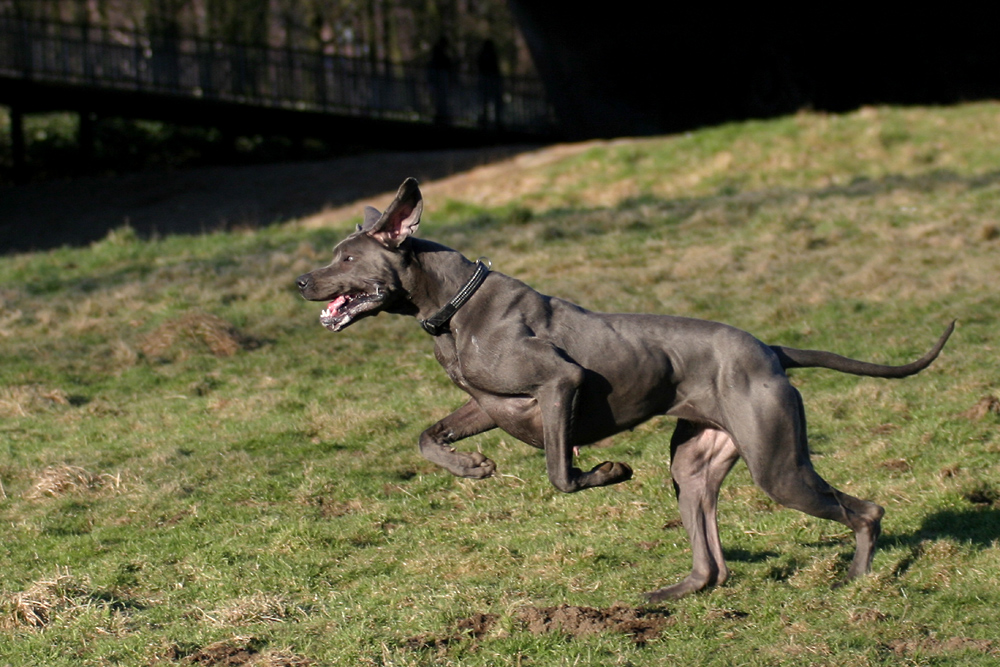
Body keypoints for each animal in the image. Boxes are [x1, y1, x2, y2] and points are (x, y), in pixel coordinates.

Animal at [294, 179, 952, 600]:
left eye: (346, 258)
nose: (300, 281)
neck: (453, 305)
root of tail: (769, 350)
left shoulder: (560, 383)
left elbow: (561, 473)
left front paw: (608, 472)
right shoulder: (489, 403)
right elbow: (428, 437)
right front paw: (472, 467)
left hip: (779, 466)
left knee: (865, 510)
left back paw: (857, 579)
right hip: (694, 464)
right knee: (710, 564)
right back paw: (671, 593)